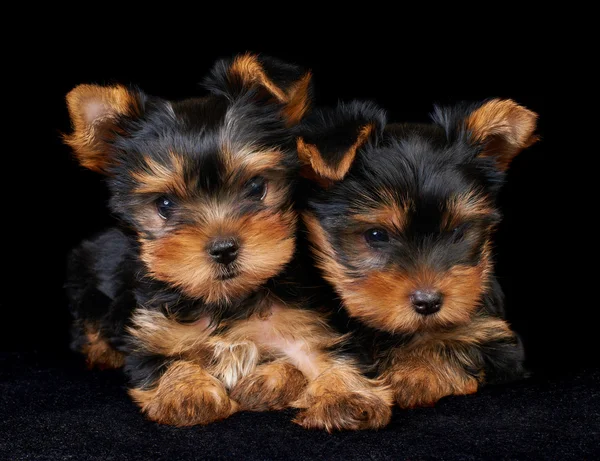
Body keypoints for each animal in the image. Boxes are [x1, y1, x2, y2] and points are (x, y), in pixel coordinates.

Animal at [63, 54, 392, 432]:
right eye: (164, 204)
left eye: (256, 186)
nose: (223, 249)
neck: (227, 301)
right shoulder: (151, 333)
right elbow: (164, 363)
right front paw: (186, 393)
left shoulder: (306, 323)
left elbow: (330, 355)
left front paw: (345, 395)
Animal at [298, 97, 536, 406]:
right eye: (376, 235)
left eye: (458, 233)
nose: (428, 302)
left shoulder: (495, 336)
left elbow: (457, 344)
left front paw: (415, 374)